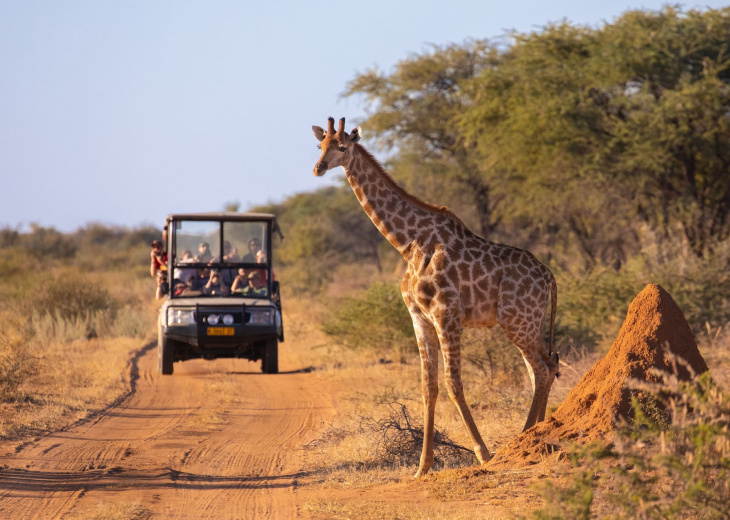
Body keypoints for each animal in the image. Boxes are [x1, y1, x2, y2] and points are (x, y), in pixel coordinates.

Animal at [312, 116, 556, 478]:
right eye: (320, 145)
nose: (318, 168)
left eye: (342, 146)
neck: (408, 243)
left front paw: (484, 453)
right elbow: (429, 388)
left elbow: (454, 384)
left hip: (517, 322)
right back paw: (536, 433)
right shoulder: (419, 318)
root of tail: (550, 277)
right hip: (530, 323)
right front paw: (422, 466)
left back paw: (524, 437)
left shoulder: (446, 314)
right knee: (544, 368)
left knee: (541, 369)